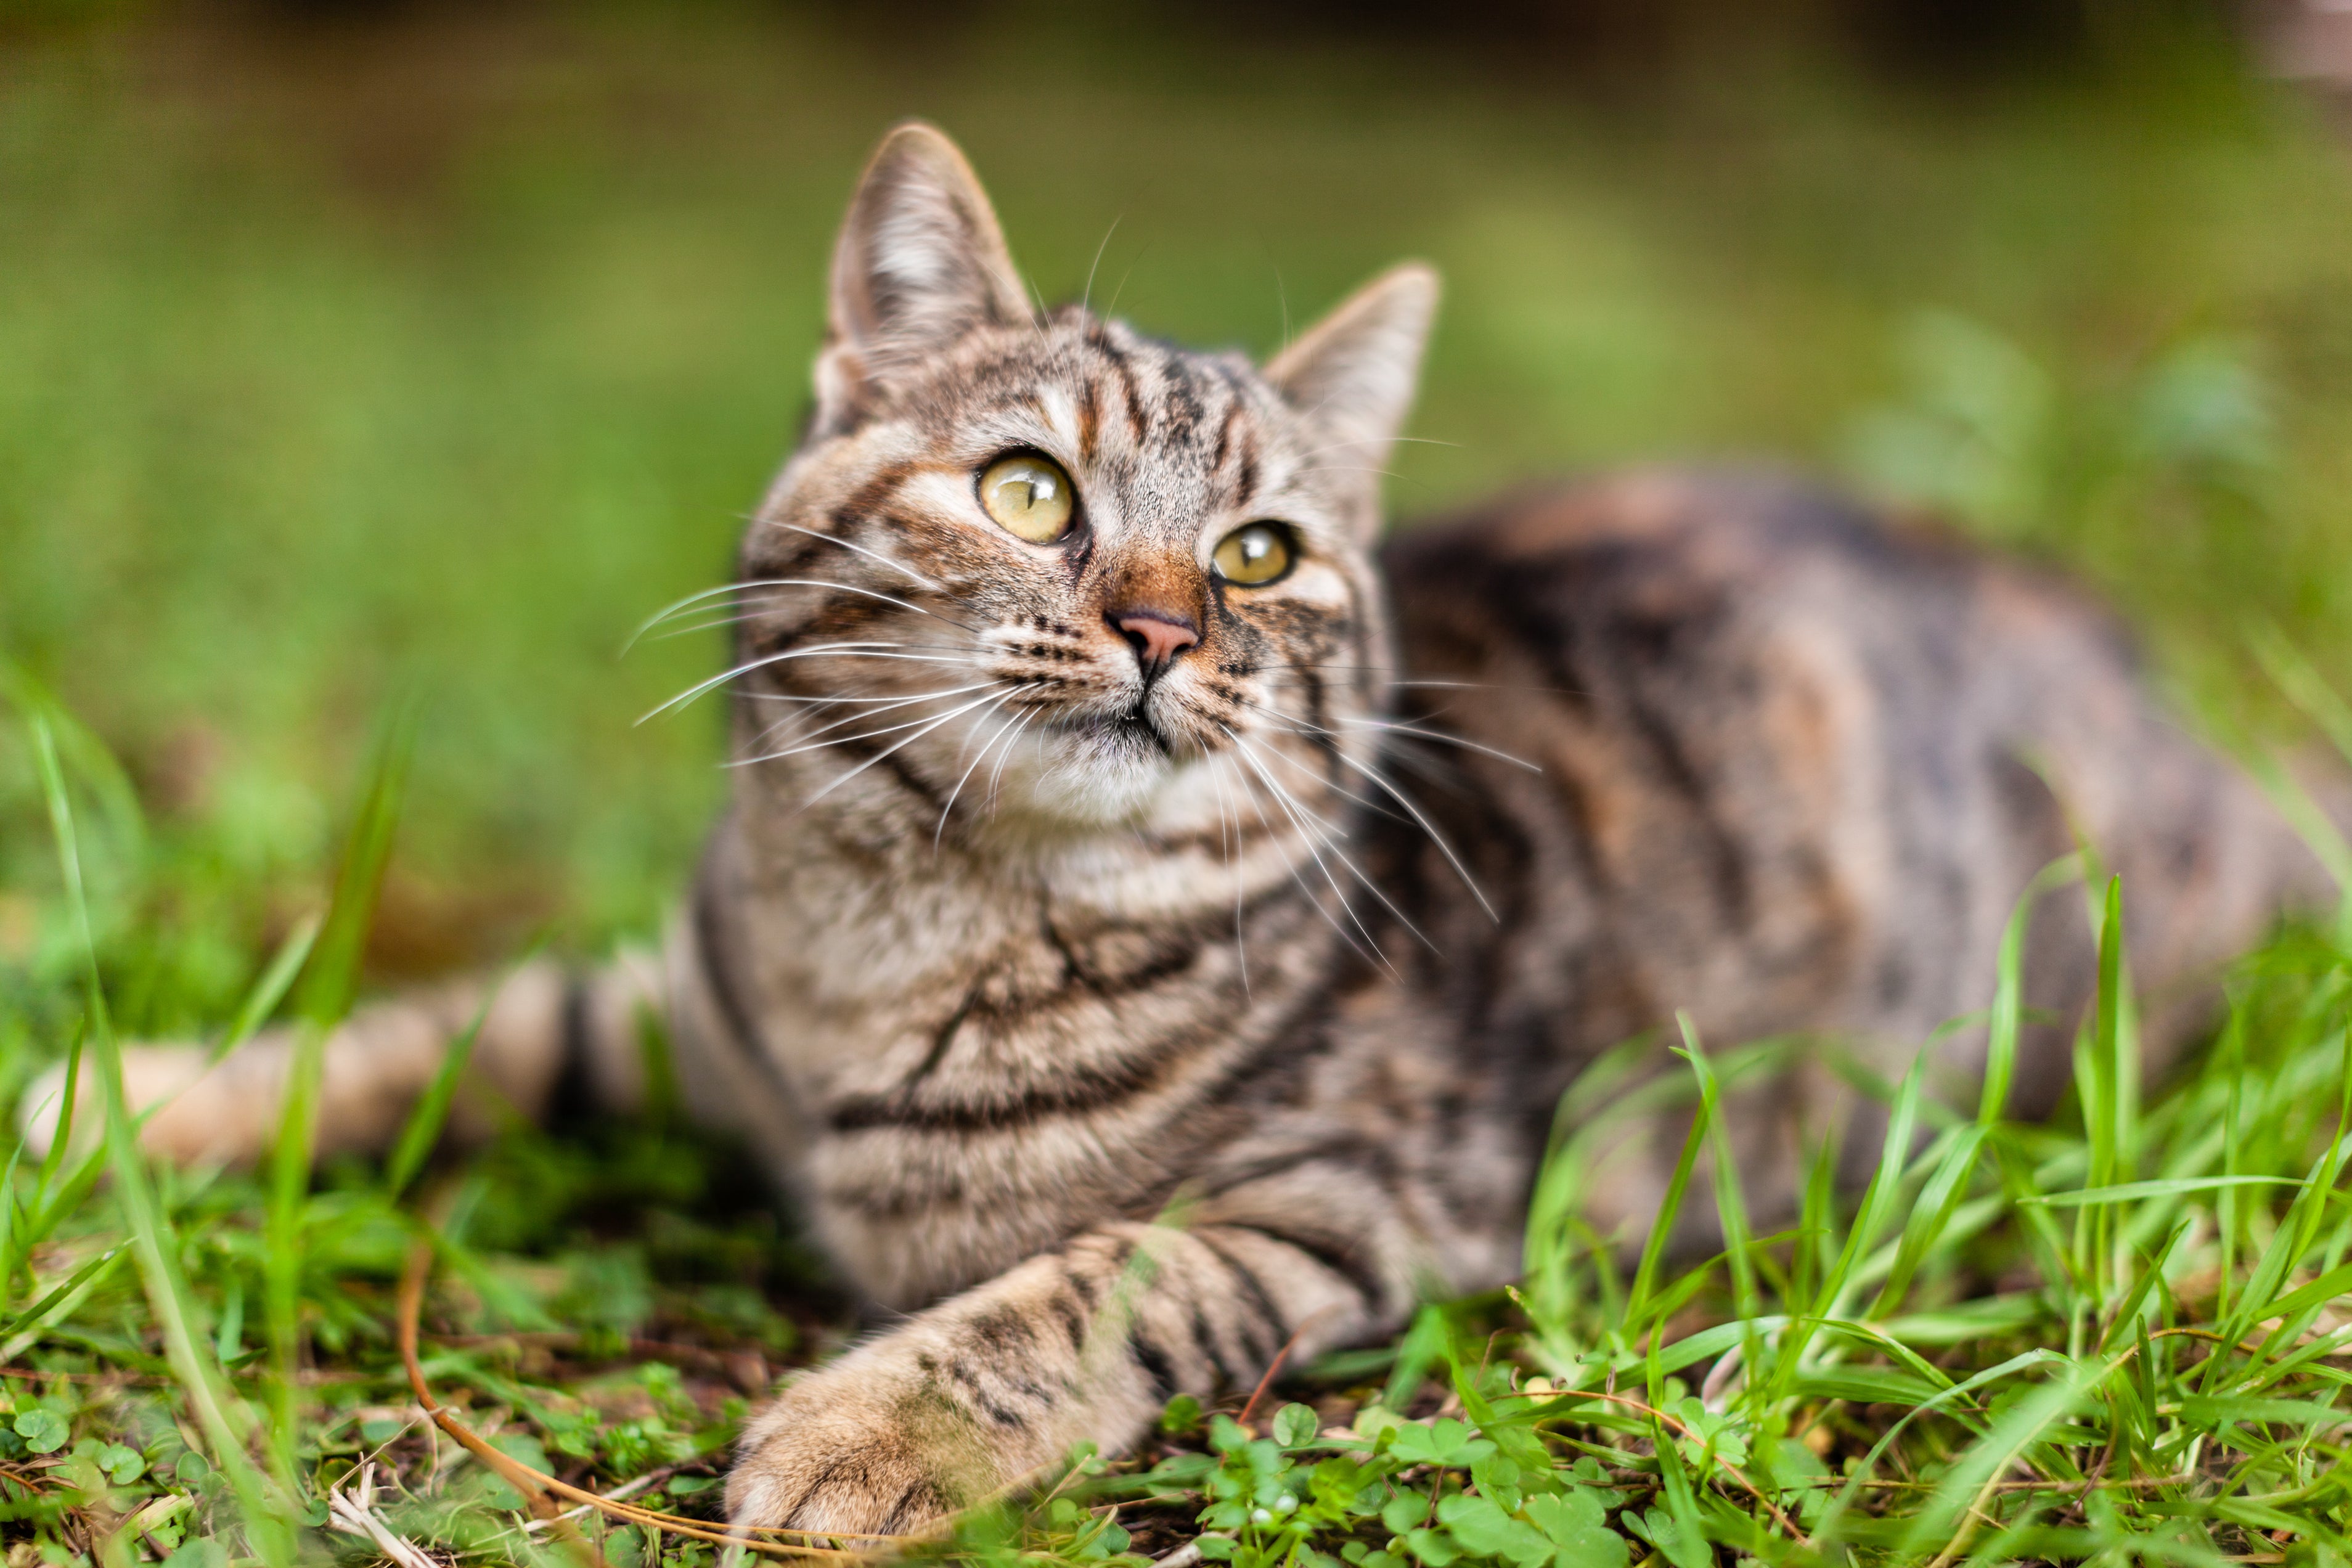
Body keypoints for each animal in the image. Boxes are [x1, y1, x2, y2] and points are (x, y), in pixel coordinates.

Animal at [27, 120, 2342, 1532]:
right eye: (1028, 487)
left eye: (1257, 553)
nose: (1160, 625)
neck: (907, 938)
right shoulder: (669, 1005)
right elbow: (435, 1033)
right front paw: (113, 1108)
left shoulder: (1358, 1205)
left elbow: (1091, 1279)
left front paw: (867, 1425)